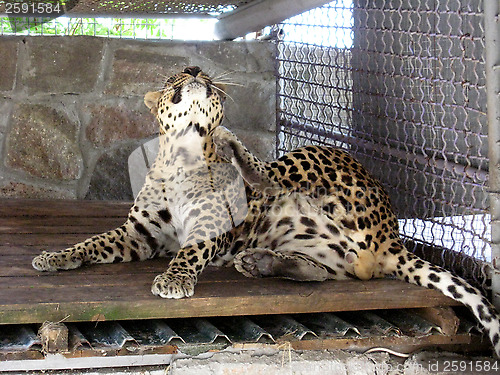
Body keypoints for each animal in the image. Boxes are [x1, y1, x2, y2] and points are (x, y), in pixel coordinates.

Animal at [31, 66, 500, 356]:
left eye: (199, 72)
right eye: (174, 74)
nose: (197, 70)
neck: (181, 155)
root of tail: (393, 235)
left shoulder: (210, 226)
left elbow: (190, 250)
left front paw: (174, 280)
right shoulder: (139, 235)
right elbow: (94, 242)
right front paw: (55, 257)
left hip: (310, 157)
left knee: (269, 174)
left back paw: (235, 149)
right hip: (325, 248)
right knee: (338, 271)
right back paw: (261, 262)